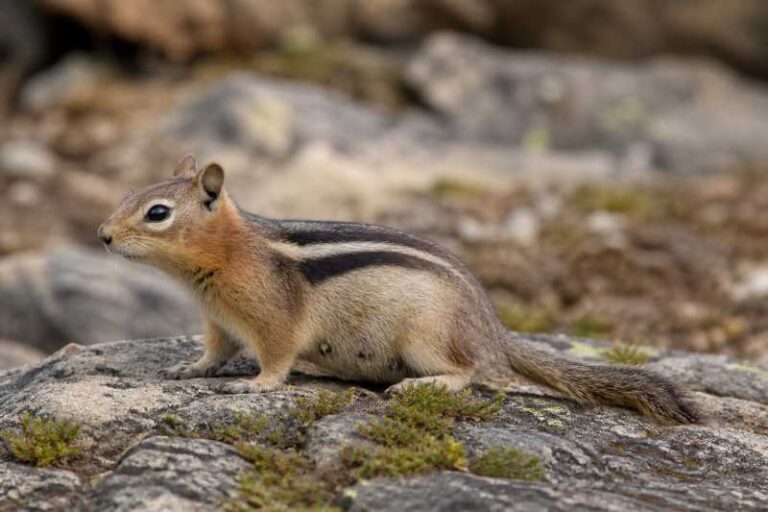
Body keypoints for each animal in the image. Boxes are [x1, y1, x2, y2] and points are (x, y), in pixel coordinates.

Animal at [98, 154, 699, 424]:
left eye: (157, 213)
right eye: (127, 195)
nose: (103, 235)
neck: (226, 254)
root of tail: (492, 328)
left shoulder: (272, 320)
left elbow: (277, 356)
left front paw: (256, 386)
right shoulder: (219, 321)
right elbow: (214, 352)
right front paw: (190, 368)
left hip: (425, 338)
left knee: (467, 372)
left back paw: (419, 385)